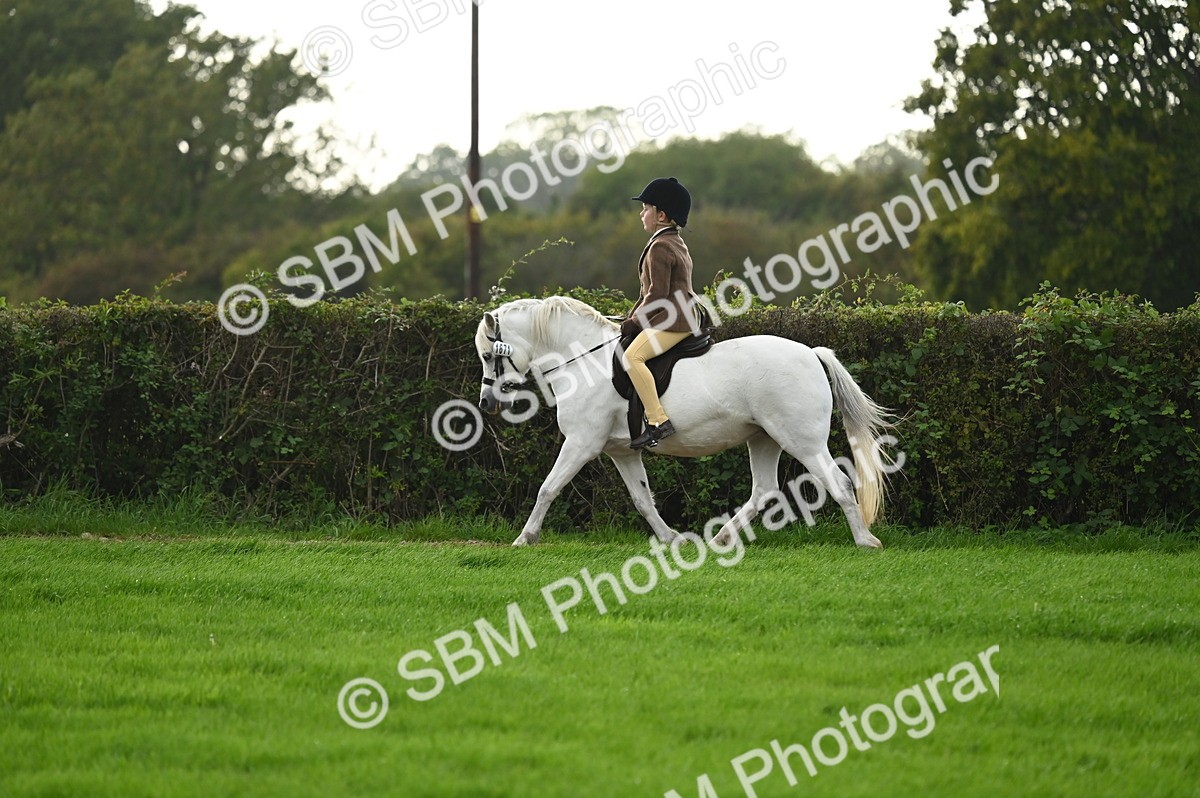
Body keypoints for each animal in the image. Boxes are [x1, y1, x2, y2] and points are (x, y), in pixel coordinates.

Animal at [473, 296, 894, 549]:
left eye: (488, 355)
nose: (486, 403)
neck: (584, 361)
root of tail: (811, 352)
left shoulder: (581, 443)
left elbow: (548, 488)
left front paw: (525, 538)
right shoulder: (621, 452)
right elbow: (642, 499)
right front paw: (672, 538)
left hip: (802, 440)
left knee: (839, 483)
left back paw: (865, 541)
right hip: (765, 438)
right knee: (763, 491)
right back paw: (721, 538)